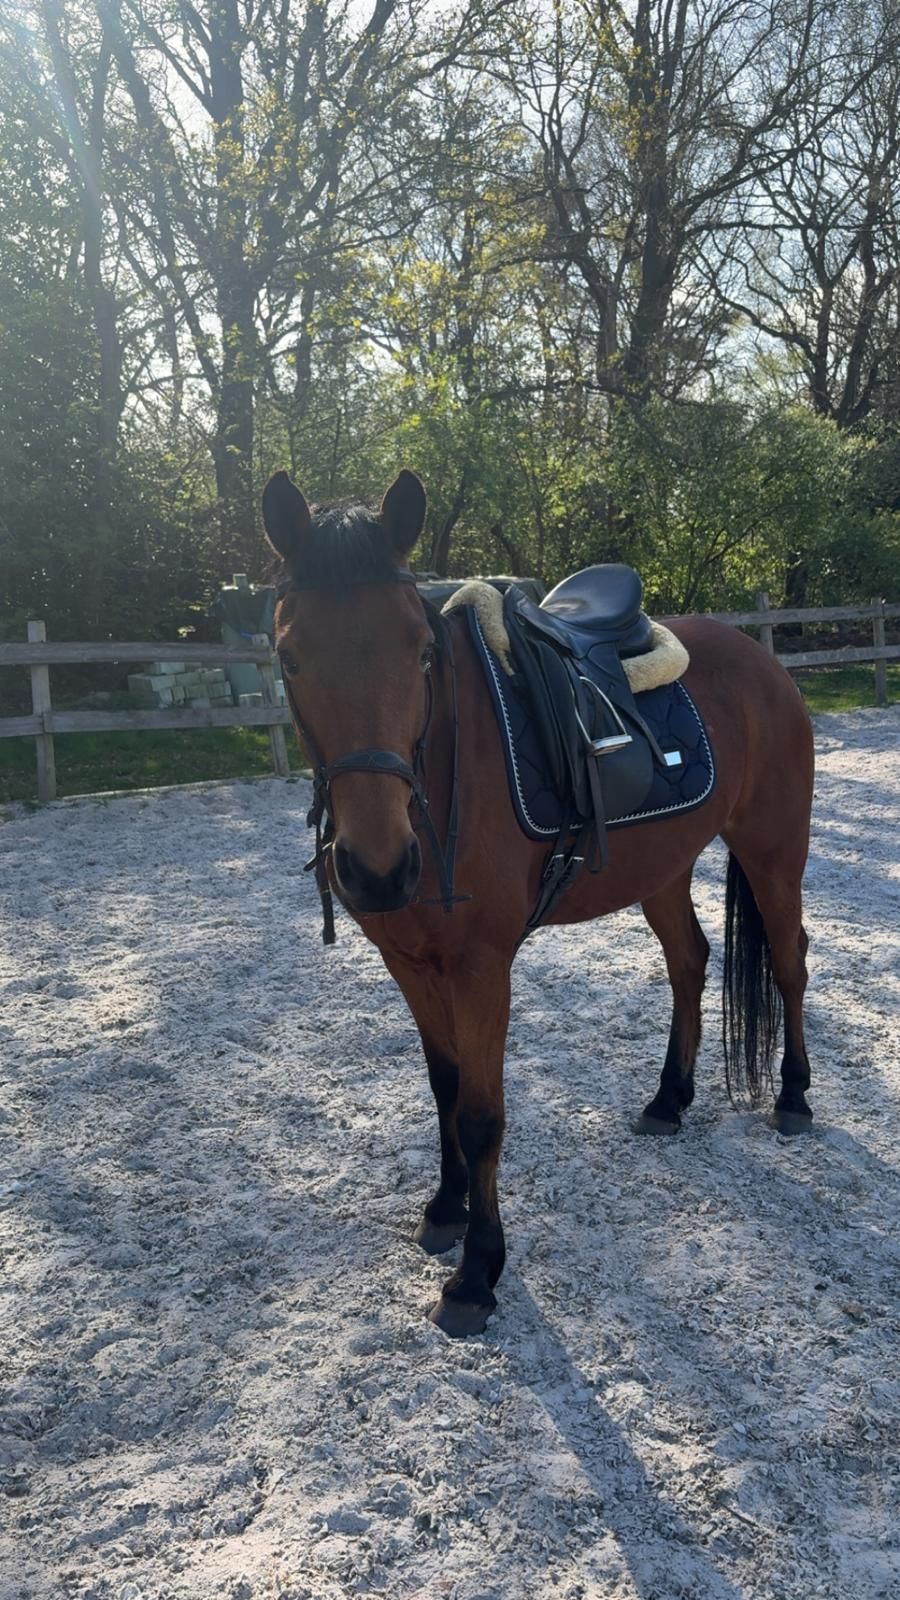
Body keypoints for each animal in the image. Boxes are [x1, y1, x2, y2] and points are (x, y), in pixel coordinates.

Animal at [262, 467, 815, 1338]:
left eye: (422, 653)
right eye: (289, 657)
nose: (378, 868)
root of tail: (763, 661)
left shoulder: (482, 967)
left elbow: (482, 1112)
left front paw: (478, 1274)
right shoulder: (409, 961)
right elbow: (445, 1088)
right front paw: (446, 1209)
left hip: (773, 851)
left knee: (790, 964)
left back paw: (793, 1096)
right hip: (661, 867)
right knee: (689, 963)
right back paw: (669, 1099)